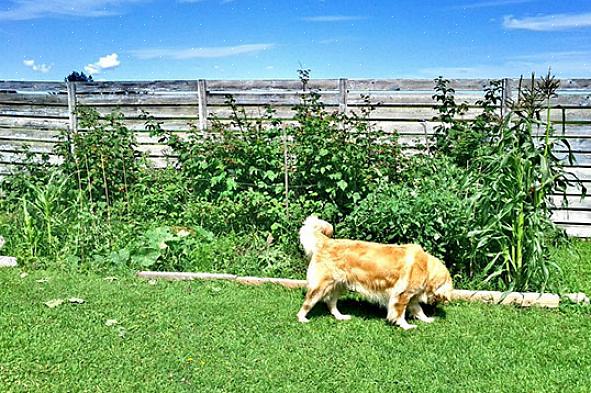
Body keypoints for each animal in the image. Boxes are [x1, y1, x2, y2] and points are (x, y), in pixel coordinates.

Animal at [296, 214, 454, 328]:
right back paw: (302, 318)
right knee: (308, 303)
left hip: (339, 285)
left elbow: (418, 310)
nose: (437, 305)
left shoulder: (410, 297)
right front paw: (406, 326)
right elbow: (399, 313)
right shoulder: (402, 294)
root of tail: (327, 242)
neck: (425, 267)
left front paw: (426, 319)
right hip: (320, 286)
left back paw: (341, 317)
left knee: (331, 303)